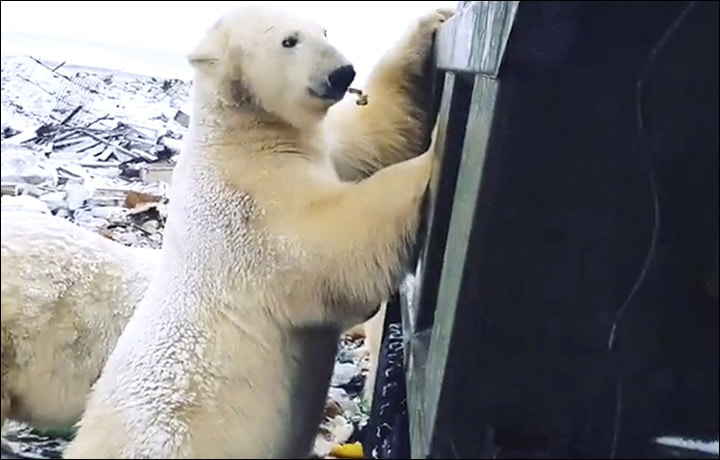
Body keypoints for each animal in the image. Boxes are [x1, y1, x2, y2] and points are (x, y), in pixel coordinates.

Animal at [64, 3, 452, 460]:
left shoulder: (317, 148)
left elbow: (369, 134)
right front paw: (430, 159)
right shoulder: (246, 204)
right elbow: (326, 240)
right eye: (289, 41)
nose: (342, 73)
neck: (239, 133)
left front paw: (432, 24)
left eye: (324, 29)